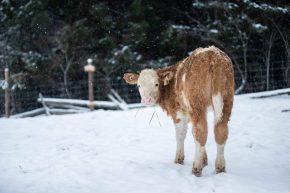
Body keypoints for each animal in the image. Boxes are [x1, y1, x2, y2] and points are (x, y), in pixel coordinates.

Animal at [123, 46, 234, 176]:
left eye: (156, 84)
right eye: (139, 85)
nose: (147, 100)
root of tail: (212, 53)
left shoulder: (178, 113)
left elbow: (181, 135)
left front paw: (179, 160)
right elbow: (193, 132)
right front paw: (204, 160)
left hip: (196, 102)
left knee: (201, 131)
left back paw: (196, 168)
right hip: (226, 100)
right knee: (220, 130)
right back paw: (220, 168)